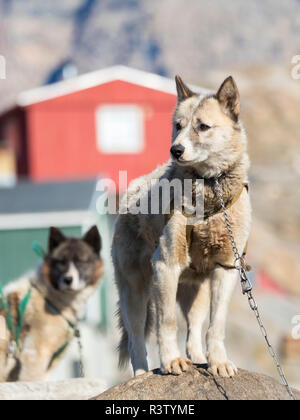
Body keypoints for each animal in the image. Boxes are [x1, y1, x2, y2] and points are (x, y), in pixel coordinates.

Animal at [0, 228, 102, 382]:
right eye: (61, 262)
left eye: (80, 262)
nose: (68, 280)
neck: (49, 297)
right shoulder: (35, 355)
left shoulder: (49, 362)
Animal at [113, 74, 252, 378]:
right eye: (178, 125)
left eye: (203, 126)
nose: (175, 150)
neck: (210, 189)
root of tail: (131, 189)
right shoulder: (166, 265)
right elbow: (167, 323)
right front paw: (171, 361)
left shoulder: (226, 269)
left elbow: (216, 325)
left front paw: (218, 362)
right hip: (135, 290)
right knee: (136, 339)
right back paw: (141, 373)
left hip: (195, 290)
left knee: (194, 330)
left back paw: (199, 357)